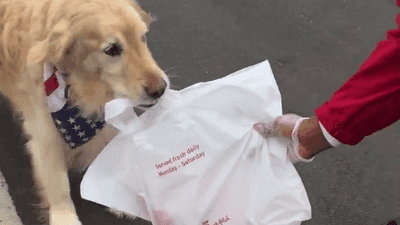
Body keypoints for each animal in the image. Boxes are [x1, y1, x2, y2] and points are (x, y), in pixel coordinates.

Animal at [0, 0, 169, 222]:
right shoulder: (44, 129)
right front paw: (65, 217)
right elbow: (58, 183)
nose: (161, 89)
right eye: (112, 49)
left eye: (143, 37)